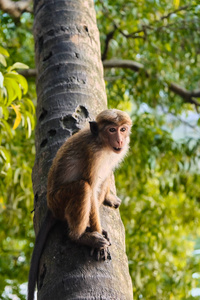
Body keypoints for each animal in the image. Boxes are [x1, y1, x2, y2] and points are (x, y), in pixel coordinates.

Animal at [27, 109, 132, 300]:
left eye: (123, 129)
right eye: (112, 130)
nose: (120, 140)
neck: (102, 144)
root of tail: (51, 207)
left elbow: (103, 179)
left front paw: (108, 199)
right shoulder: (93, 155)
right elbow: (91, 186)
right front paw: (97, 237)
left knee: (104, 176)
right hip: (59, 201)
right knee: (83, 187)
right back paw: (80, 236)